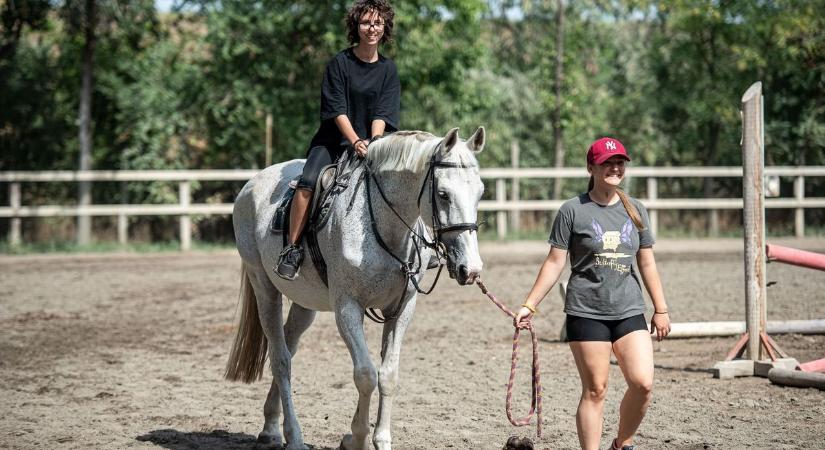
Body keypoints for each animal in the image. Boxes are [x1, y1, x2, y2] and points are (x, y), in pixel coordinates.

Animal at [225, 126, 486, 450]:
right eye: (443, 194)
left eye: (480, 193)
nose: (470, 269)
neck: (382, 227)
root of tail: (252, 184)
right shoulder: (348, 308)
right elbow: (365, 374)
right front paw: (357, 438)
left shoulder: (402, 308)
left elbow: (388, 375)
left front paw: (381, 439)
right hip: (264, 287)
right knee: (280, 358)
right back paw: (293, 436)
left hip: (305, 304)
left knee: (289, 346)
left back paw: (271, 427)